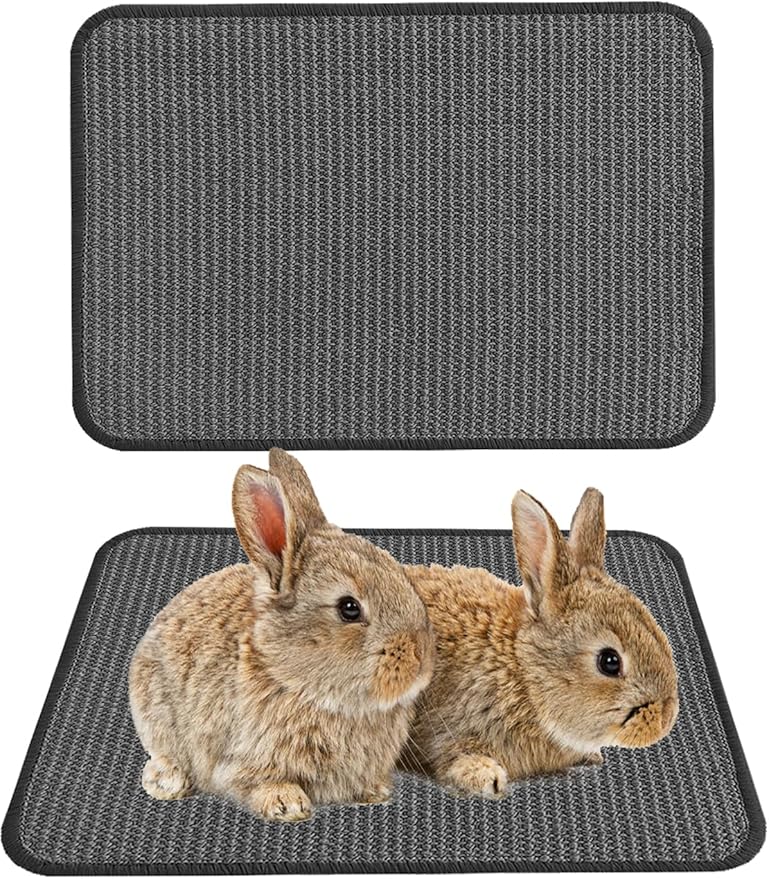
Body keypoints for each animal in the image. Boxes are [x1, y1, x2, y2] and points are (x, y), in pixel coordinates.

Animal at [129, 448, 434, 821]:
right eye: (349, 608)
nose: (422, 658)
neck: (294, 682)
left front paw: (373, 792)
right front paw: (287, 803)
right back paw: (167, 781)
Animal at [404, 488, 678, 798]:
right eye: (609, 662)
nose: (666, 719)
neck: (522, 672)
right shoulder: (450, 724)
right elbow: (452, 754)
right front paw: (485, 776)